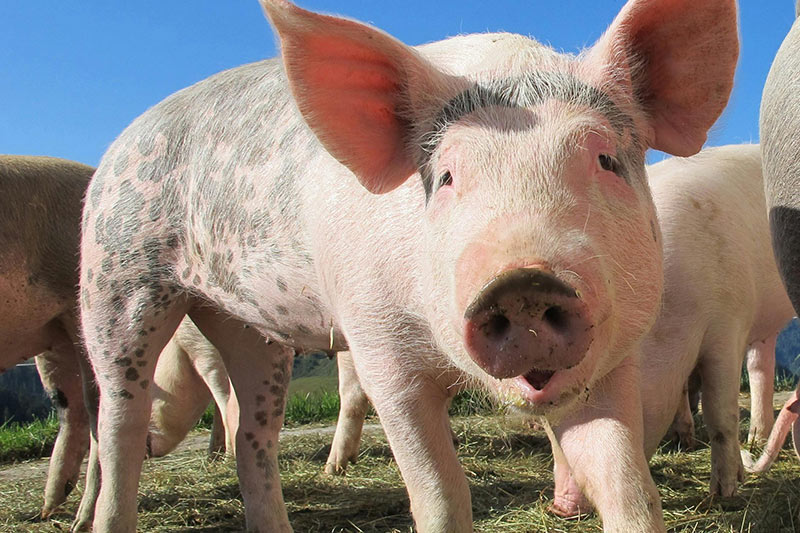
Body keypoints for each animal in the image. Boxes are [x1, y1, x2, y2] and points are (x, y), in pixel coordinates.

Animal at [0, 155, 96, 518]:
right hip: (54, 331)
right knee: (70, 406)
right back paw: (47, 511)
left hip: (79, 310)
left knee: (96, 407)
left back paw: (82, 520)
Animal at [76, 0, 738, 531]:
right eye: (445, 177)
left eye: (605, 160)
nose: (523, 282)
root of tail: (120, 144)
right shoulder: (378, 352)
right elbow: (440, 495)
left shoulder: (614, 356)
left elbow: (628, 487)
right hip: (118, 277)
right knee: (118, 428)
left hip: (249, 326)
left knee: (253, 435)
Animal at [550, 144, 795, 517]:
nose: (559, 506)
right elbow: (681, 393)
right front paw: (684, 440)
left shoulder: (727, 325)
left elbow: (719, 411)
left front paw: (723, 493)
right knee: (760, 365)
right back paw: (755, 439)